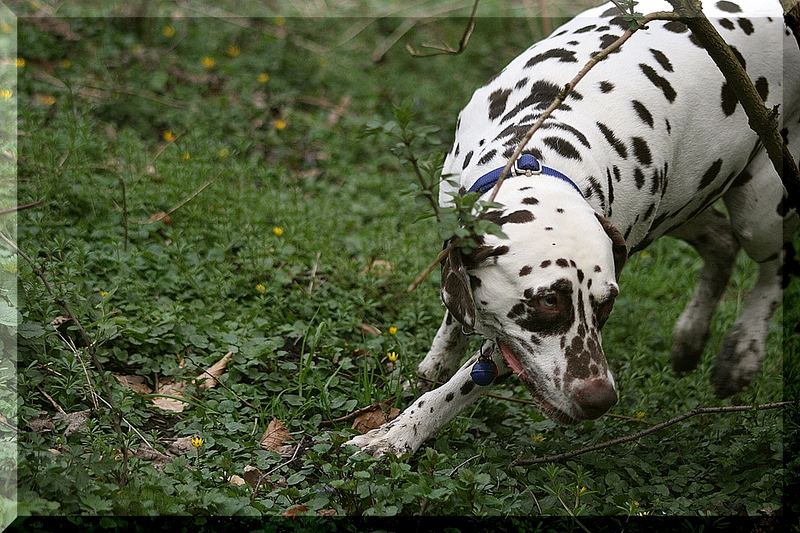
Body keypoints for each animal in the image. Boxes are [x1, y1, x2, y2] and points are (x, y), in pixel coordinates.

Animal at [346, 1, 796, 458]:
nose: (600, 399)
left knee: (778, 262)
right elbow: (453, 322)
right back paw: (691, 335)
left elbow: (461, 386)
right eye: (548, 302)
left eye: (606, 304)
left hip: (760, 207)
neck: (537, 155)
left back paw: (744, 349)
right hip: (687, 202)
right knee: (722, 243)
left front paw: (402, 432)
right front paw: (431, 369)